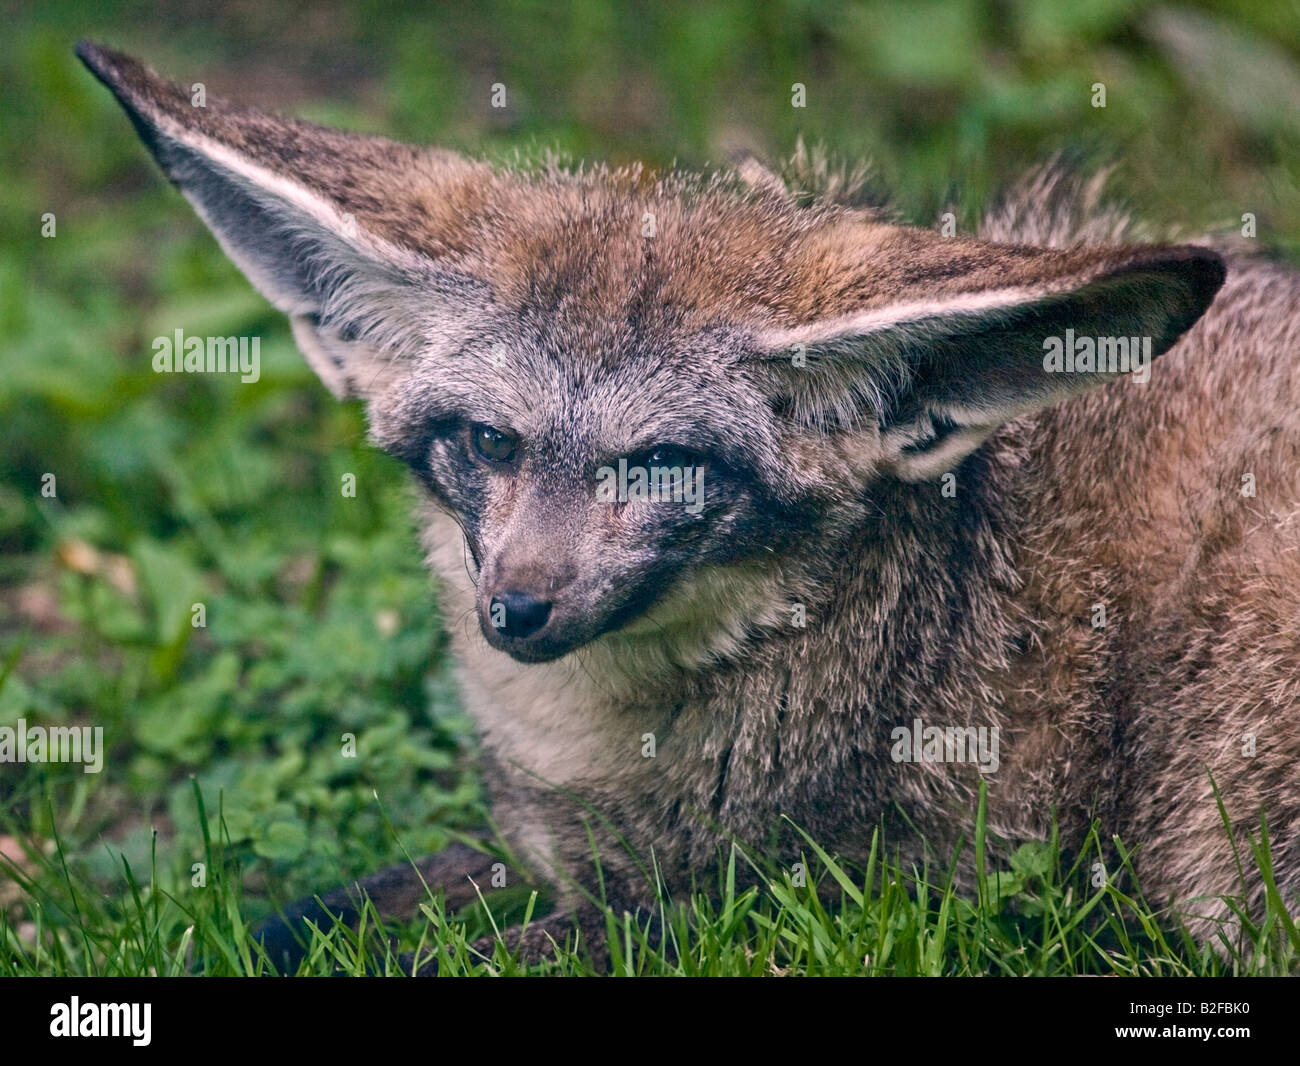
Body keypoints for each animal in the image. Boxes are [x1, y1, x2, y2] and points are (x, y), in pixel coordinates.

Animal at [77, 40, 1300, 972]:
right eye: (490, 442)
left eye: (662, 464)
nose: (517, 611)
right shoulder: (558, 852)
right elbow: (317, 912)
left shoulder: (808, 898)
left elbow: (442, 957)